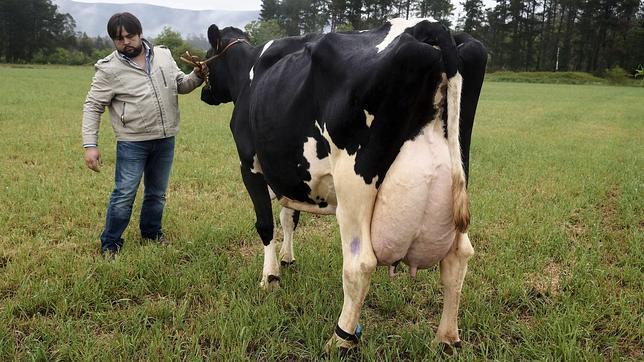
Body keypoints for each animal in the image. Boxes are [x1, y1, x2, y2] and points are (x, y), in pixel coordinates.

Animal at [199, 18, 486, 350]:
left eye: (208, 55)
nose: (203, 93)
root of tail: (426, 26)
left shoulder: (250, 165)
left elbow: (265, 224)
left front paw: (269, 277)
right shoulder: (289, 176)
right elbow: (289, 217)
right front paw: (287, 258)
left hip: (353, 186)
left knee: (359, 264)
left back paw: (341, 338)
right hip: (457, 175)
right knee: (458, 258)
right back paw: (447, 338)